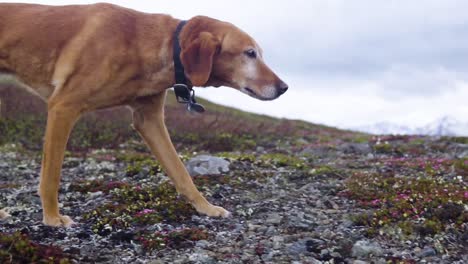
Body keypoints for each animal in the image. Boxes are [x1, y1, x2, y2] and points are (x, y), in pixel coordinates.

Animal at [0, 2, 288, 227]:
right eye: (250, 53)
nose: (284, 87)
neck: (153, 44)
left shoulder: (149, 120)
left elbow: (180, 172)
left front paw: (205, 207)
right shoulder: (63, 106)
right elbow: (51, 177)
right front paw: (52, 218)